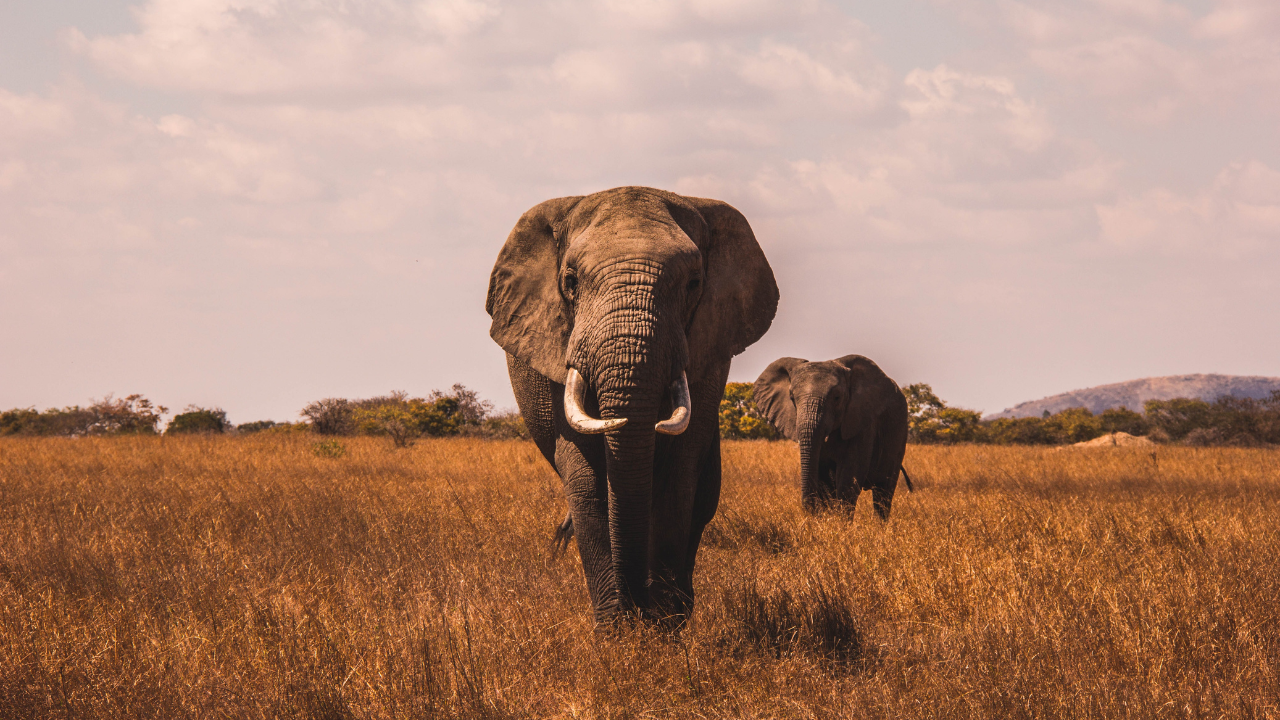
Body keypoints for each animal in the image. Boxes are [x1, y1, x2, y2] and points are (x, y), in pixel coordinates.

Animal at [481, 184, 773, 622]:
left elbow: (678, 476)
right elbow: (586, 479)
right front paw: (618, 628)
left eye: (694, 283)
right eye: (571, 281)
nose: (640, 608)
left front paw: (664, 624)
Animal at [752, 353, 916, 515]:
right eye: (792, 398)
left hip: (899, 433)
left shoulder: (863, 422)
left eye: (837, 397)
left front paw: (840, 522)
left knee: (883, 492)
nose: (809, 508)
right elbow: (824, 480)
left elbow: (849, 479)